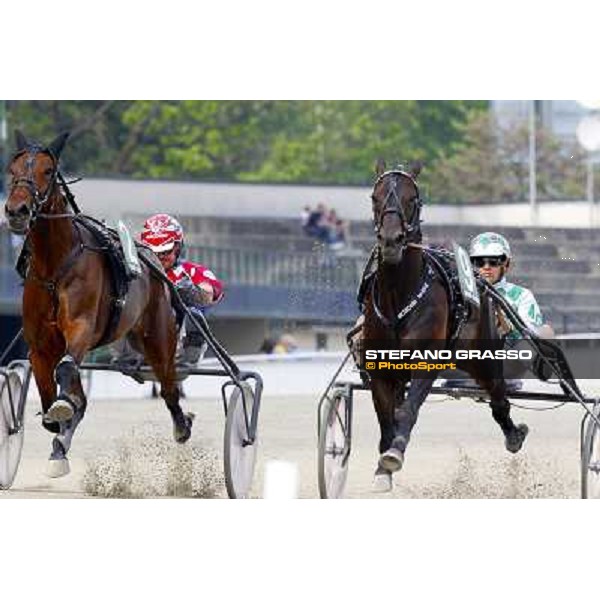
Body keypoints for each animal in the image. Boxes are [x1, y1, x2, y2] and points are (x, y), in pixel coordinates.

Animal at [2, 131, 192, 478]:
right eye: (13, 169)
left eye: (48, 170)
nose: (17, 210)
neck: (55, 267)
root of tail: (154, 267)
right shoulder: (39, 345)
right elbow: (49, 391)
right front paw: (57, 423)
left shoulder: (81, 328)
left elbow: (65, 369)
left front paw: (62, 412)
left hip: (159, 339)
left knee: (169, 388)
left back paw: (182, 426)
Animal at [358, 159, 528, 492]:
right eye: (375, 197)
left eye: (413, 199)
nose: (391, 240)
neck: (399, 297)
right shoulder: (381, 370)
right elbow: (386, 418)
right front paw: (382, 468)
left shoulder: (426, 362)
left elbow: (408, 410)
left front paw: (394, 454)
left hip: (484, 358)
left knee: (499, 399)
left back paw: (515, 434)